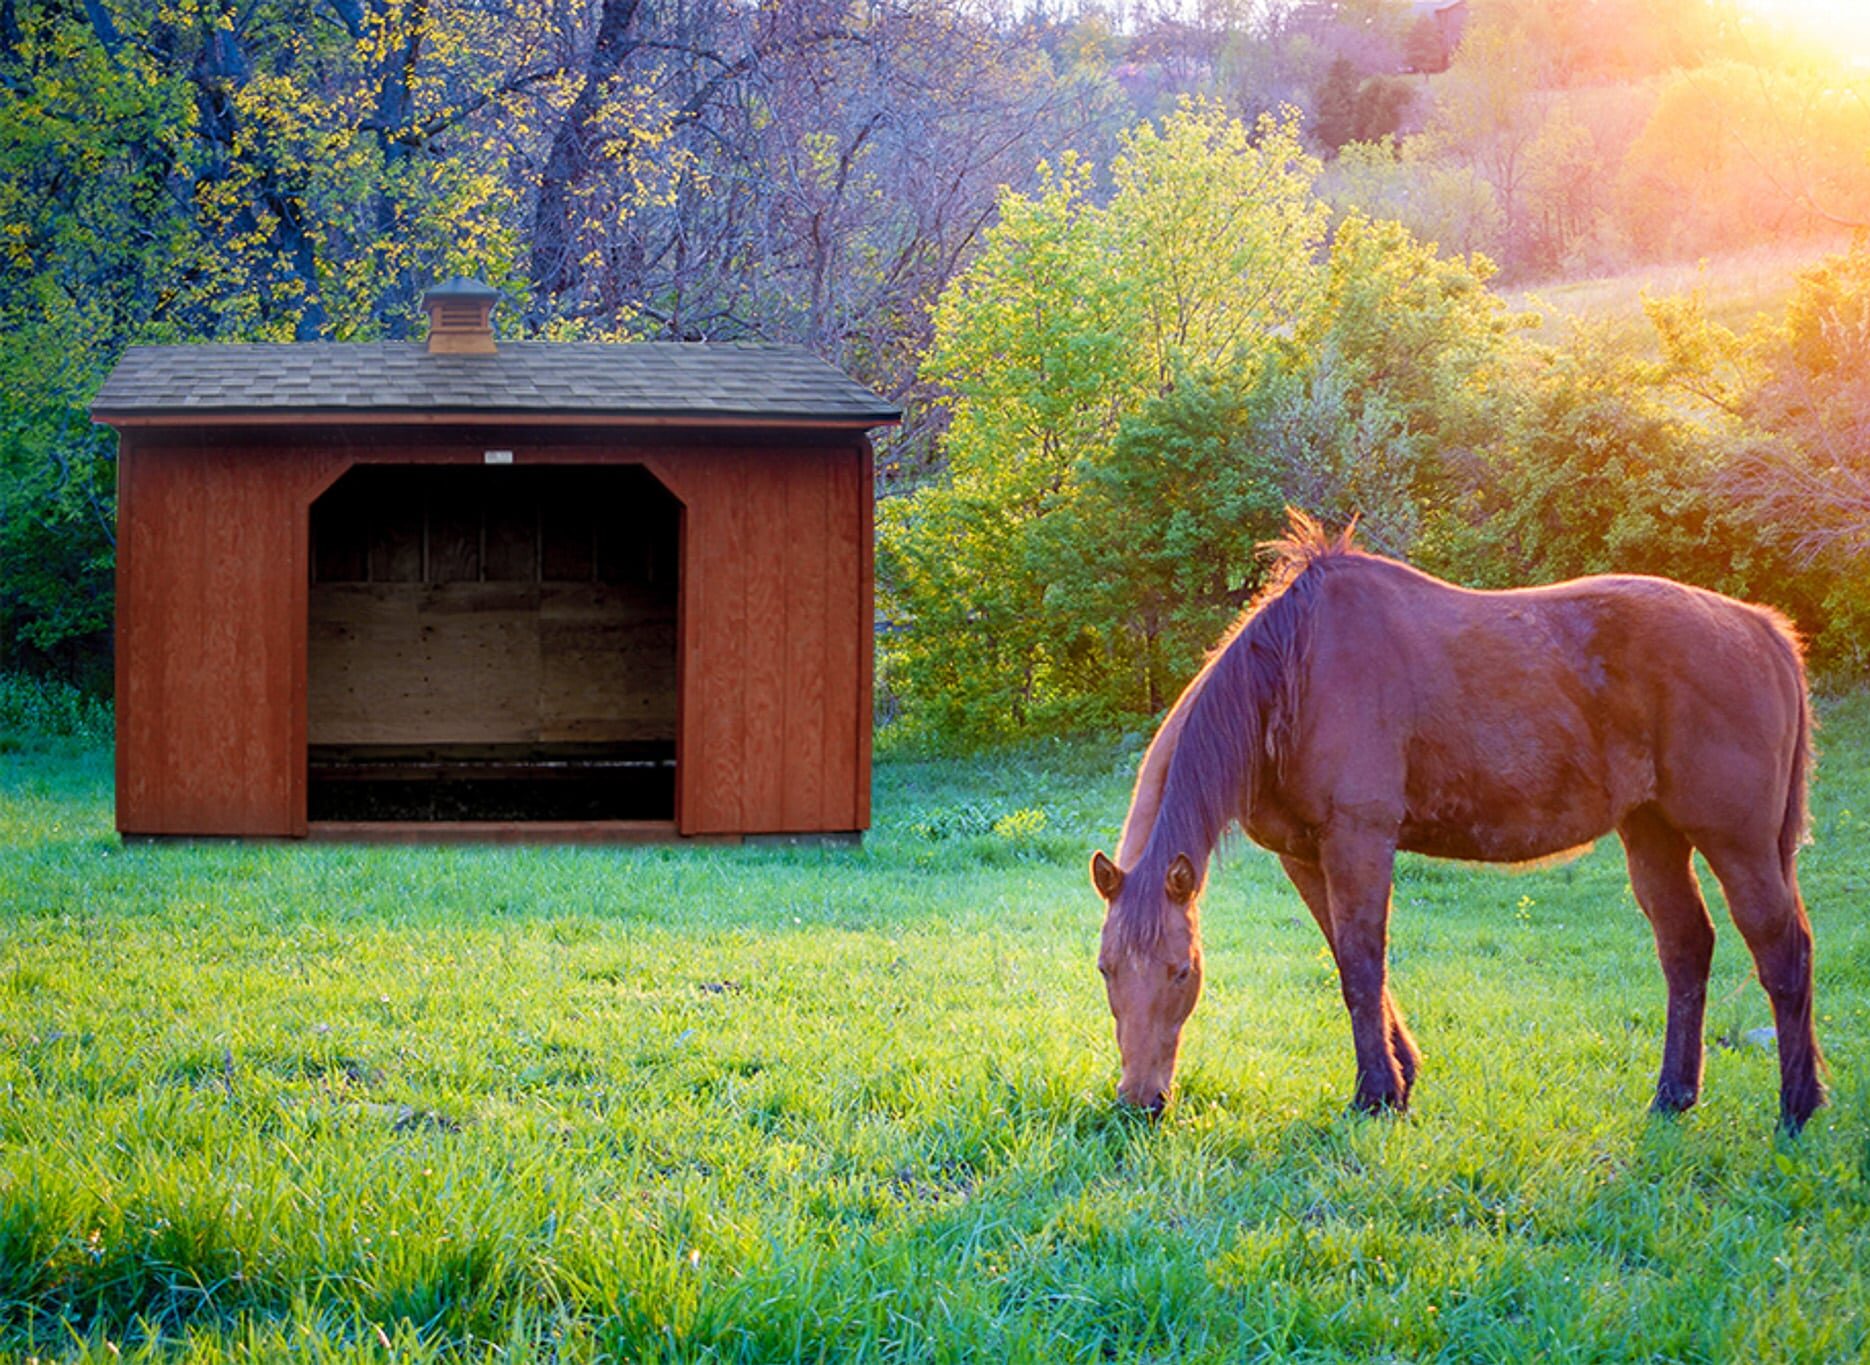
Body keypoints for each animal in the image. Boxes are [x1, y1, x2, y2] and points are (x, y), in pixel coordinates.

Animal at [1092, 508, 1817, 1129]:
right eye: (1105, 970)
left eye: (1181, 970)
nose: (1139, 1102)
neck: (1294, 676)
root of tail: (1762, 628)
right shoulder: (1303, 854)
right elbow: (1345, 957)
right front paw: (1401, 1077)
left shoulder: (1360, 838)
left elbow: (1363, 963)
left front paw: (1376, 1095)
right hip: (1653, 833)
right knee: (1686, 948)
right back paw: (1672, 1097)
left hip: (1738, 842)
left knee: (1782, 949)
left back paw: (1797, 1107)